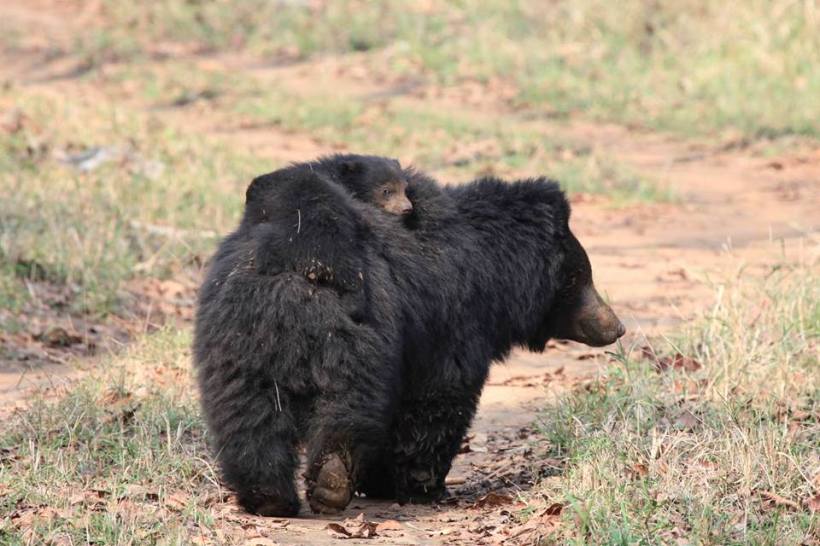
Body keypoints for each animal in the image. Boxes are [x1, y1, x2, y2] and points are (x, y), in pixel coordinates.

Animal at [193, 160, 624, 517]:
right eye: (577, 278)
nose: (616, 327)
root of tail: (300, 253)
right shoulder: (450, 324)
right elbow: (438, 401)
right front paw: (415, 485)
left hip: (236, 340)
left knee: (246, 416)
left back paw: (267, 497)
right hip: (354, 335)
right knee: (346, 404)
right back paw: (331, 482)